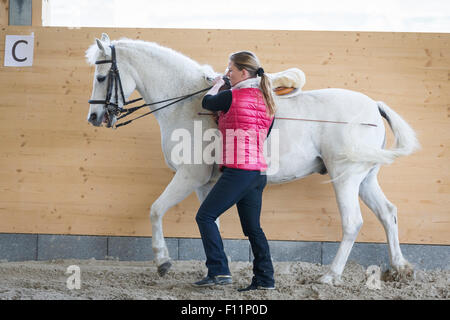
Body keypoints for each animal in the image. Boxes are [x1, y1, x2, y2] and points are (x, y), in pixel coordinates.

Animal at [86, 33, 420, 284]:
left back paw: (330, 275)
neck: (190, 104)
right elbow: (211, 223)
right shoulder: (205, 184)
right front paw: (217, 269)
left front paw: (163, 262)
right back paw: (399, 268)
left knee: (352, 223)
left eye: (102, 77)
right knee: (387, 213)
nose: (94, 117)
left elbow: (156, 210)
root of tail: (373, 105)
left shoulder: (189, 176)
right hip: (365, 178)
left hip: (346, 177)